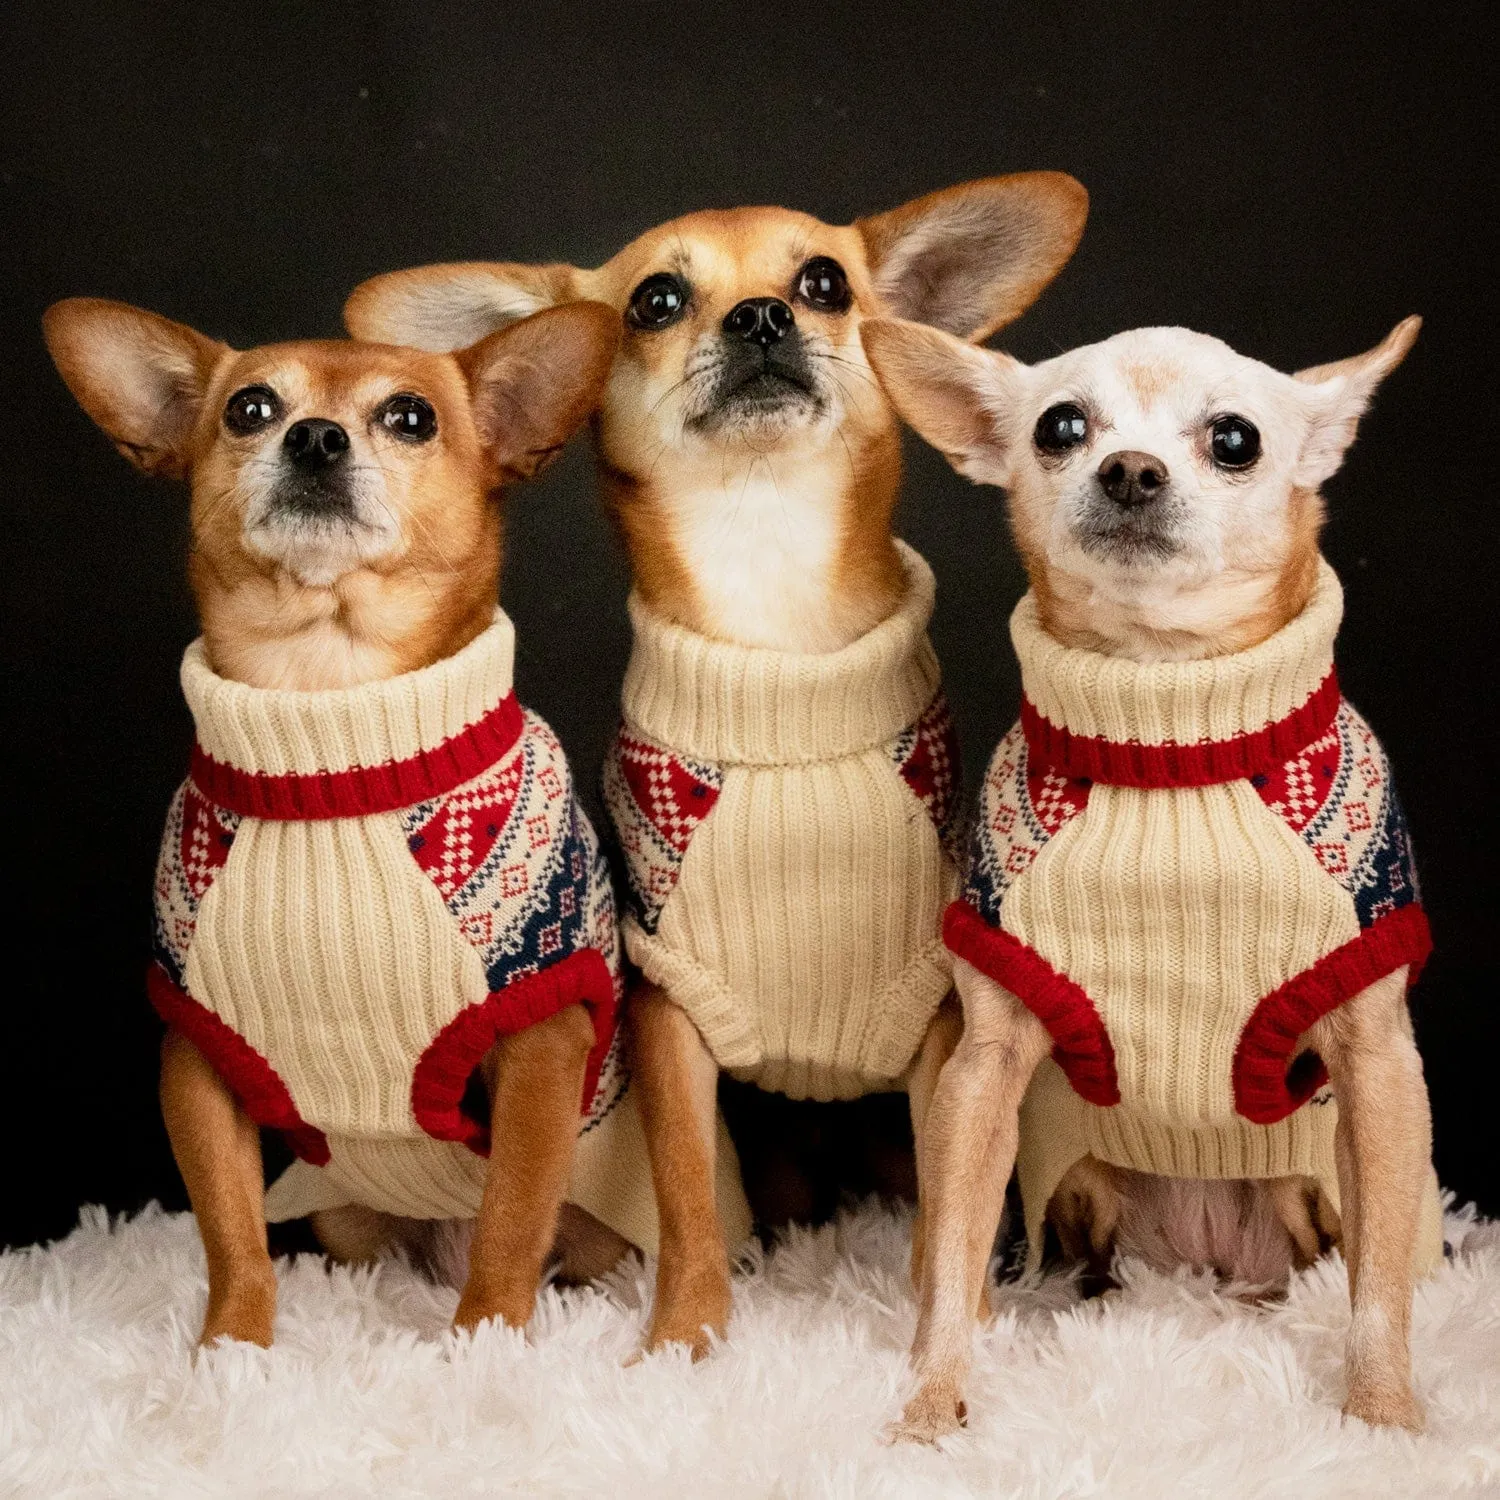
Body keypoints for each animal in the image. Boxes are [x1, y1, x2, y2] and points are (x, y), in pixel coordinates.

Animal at [42, 295, 687, 1350]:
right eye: (250, 407)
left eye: (412, 417)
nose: (313, 437)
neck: (332, 716)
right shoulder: (198, 1059)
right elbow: (231, 1232)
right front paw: (231, 1352)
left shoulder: (540, 1050)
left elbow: (513, 1215)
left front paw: (484, 1341)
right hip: (347, 1214)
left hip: (598, 1223)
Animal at [345, 170, 1086, 1356]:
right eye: (655, 301)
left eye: (824, 283)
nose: (763, 316)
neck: (770, 622)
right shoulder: (671, 1018)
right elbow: (689, 1191)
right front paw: (686, 1335)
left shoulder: (938, 1024)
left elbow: (946, 1194)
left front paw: (948, 1315)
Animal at [870, 310, 1440, 1434]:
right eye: (1059, 425)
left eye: (1234, 439)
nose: (1130, 470)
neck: (1168, 728)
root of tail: (1203, 1266)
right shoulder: (982, 1073)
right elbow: (950, 1264)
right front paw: (931, 1403)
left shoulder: (1378, 1066)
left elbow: (1382, 1291)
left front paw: (1383, 1417)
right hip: (1080, 1185)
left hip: (1317, 1189)